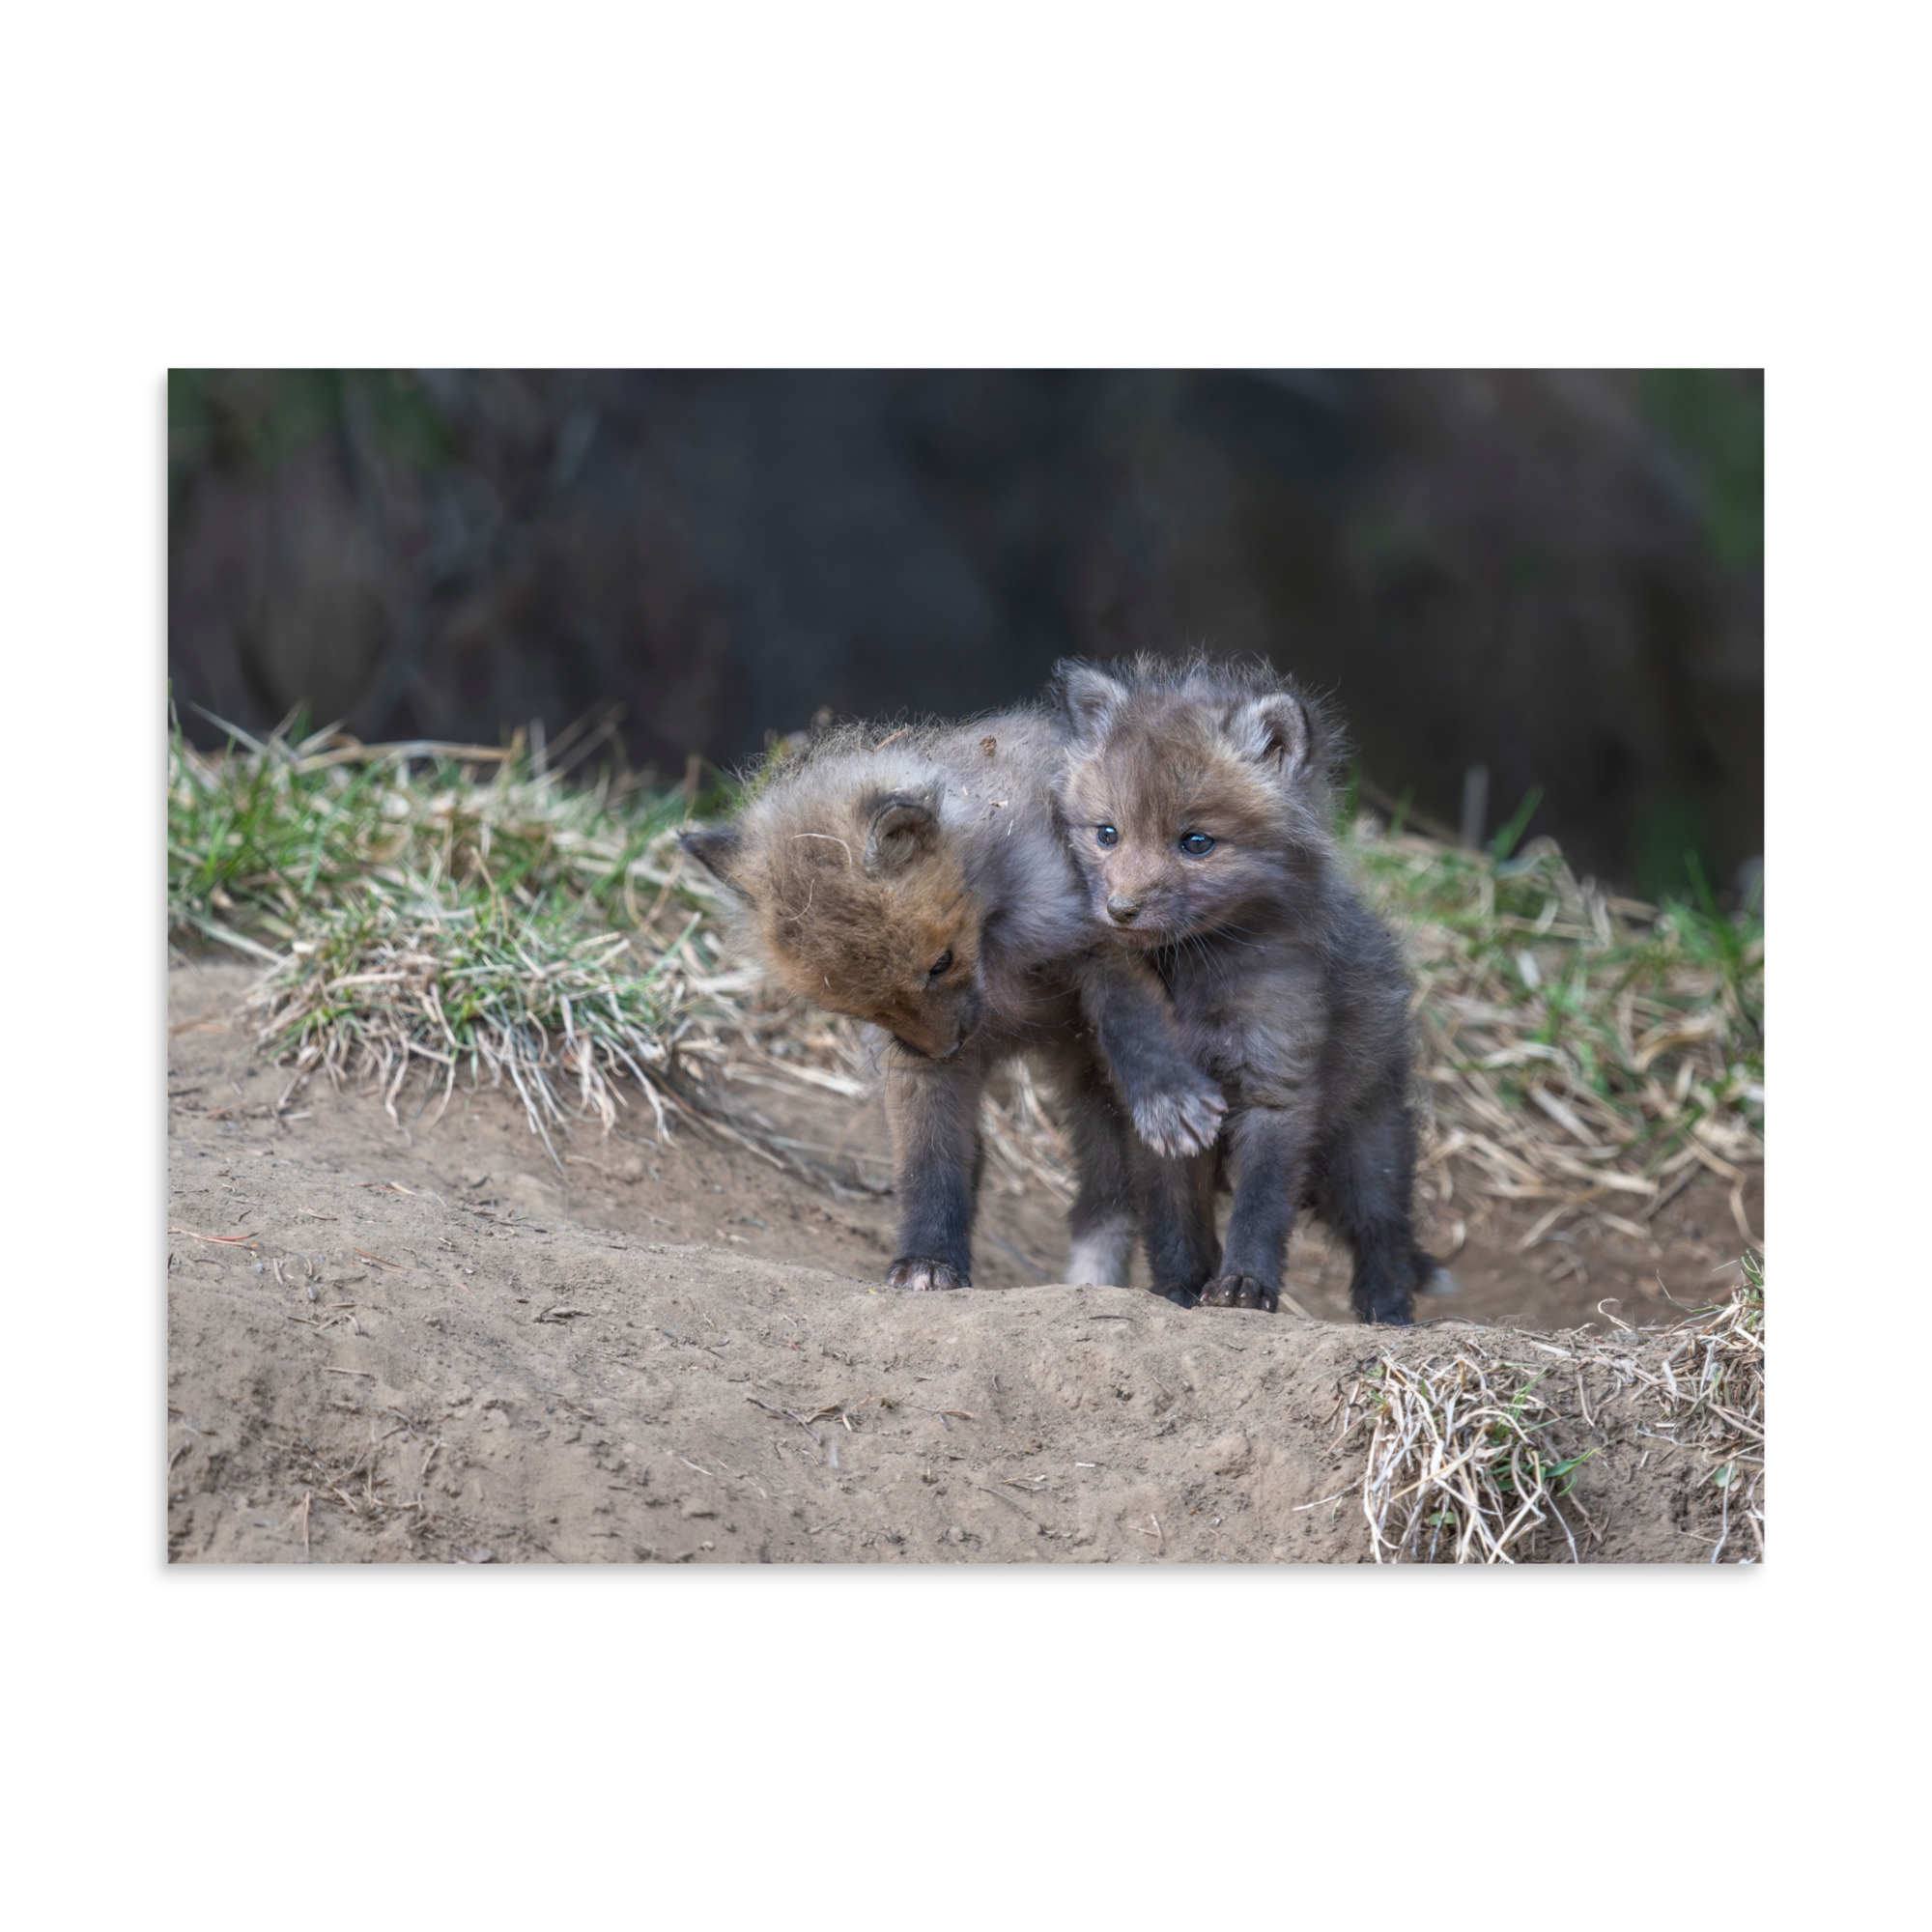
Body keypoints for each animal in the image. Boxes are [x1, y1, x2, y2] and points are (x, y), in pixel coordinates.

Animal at [677, 712, 1228, 1298]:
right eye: (861, 1008)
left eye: (940, 963)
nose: (947, 1048)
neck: (997, 953)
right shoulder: (911, 1061)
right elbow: (929, 1163)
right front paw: (929, 1259)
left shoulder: (1100, 937)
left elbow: (1134, 1024)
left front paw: (1167, 1096)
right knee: (1100, 1197)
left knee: (1162, 1200)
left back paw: (1182, 1288)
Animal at [1051, 654, 1446, 1326]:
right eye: (1107, 834)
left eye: (1197, 842)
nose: (1120, 910)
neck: (1193, 977)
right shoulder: (1161, 1113)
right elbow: (1173, 1219)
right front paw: (1178, 1290)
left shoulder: (1277, 1085)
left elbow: (1261, 1207)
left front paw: (1244, 1287)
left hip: (1366, 1147)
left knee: (1384, 1235)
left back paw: (1388, 1317)